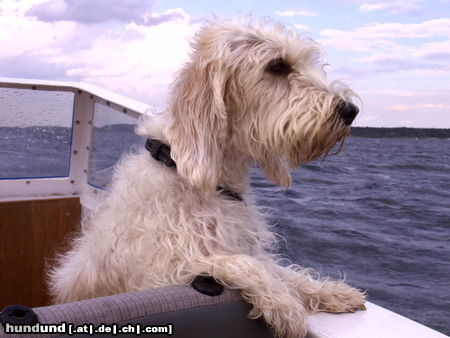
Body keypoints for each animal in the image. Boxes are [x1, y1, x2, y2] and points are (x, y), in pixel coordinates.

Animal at [49, 19, 366, 336]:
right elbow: (241, 263)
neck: (200, 180)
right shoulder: (159, 274)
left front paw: (329, 291)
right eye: (277, 65)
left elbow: (277, 268)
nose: (350, 110)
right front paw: (286, 306)